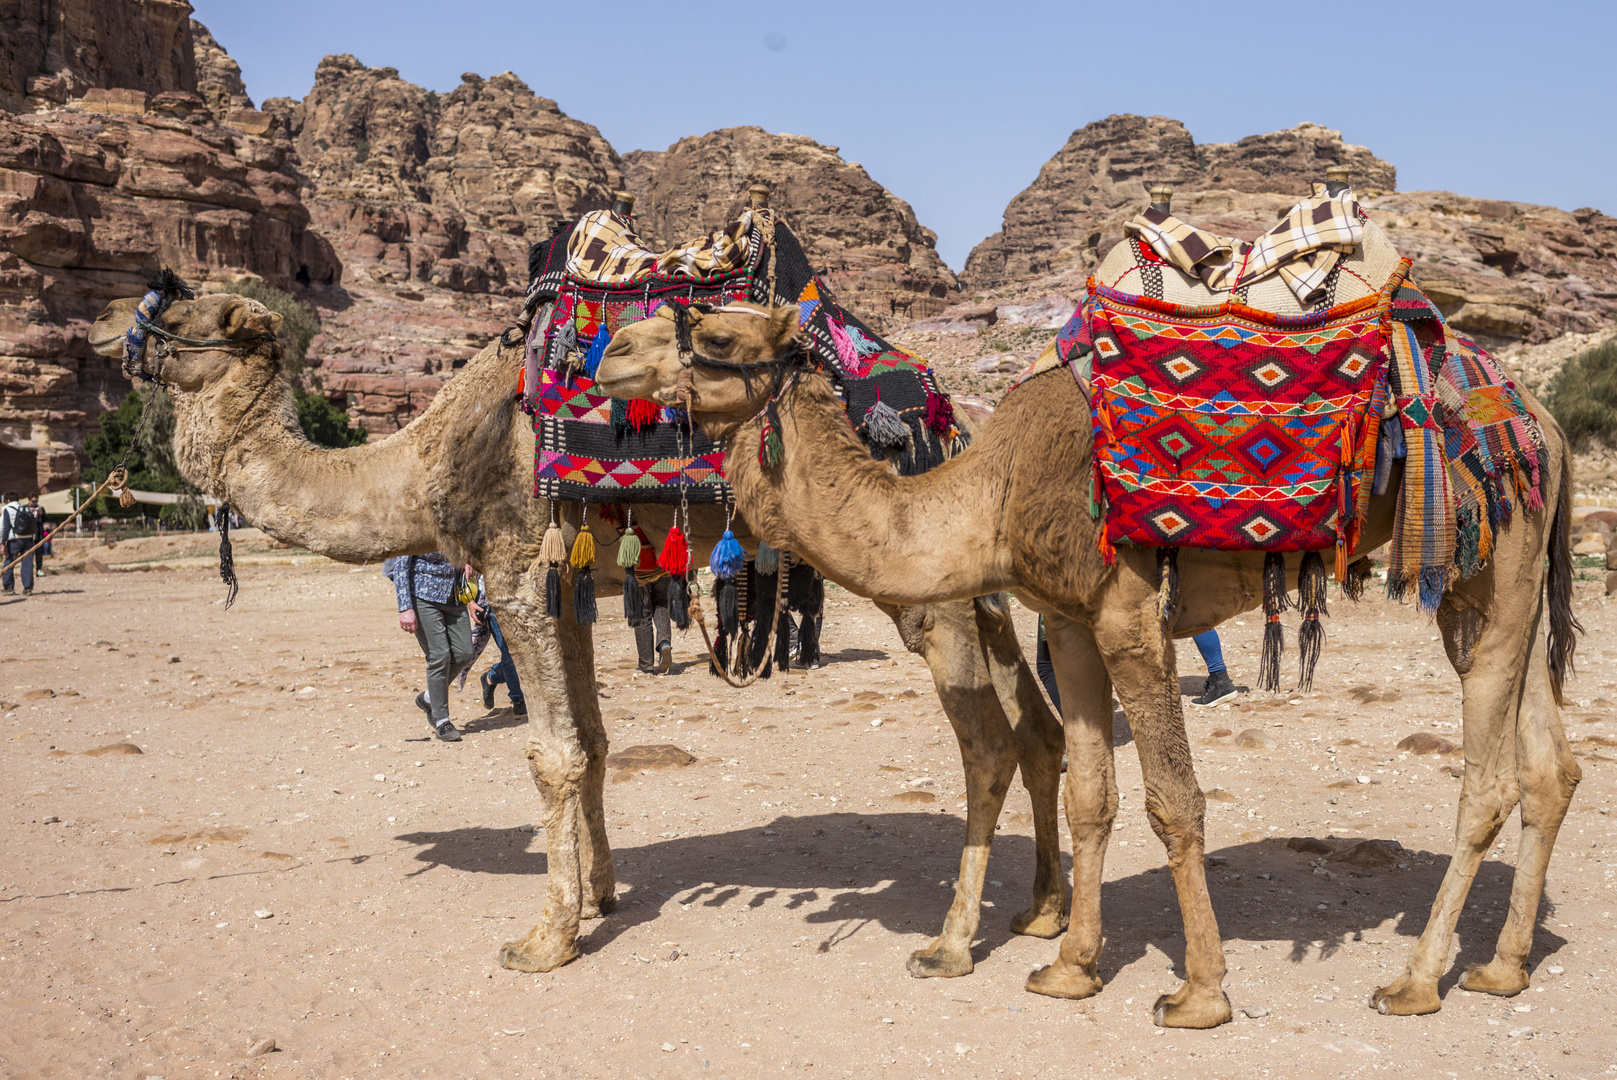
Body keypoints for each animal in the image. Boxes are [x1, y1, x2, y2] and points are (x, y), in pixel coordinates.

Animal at [88, 284, 1073, 976]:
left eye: (190, 309)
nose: (101, 323)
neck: (421, 461)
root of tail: (939, 402)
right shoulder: (566, 587)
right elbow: (594, 744)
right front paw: (600, 896)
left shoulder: (516, 567)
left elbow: (551, 755)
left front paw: (544, 937)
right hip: (976, 575)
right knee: (1040, 726)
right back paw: (1041, 912)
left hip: (921, 581)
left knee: (987, 743)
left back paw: (952, 944)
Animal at [595, 229, 1578, 1028]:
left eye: (716, 337)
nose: (610, 356)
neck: (987, 496)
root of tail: (1546, 424)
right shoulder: (1065, 621)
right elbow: (1089, 794)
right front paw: (1068, 966)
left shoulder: (1125, 613)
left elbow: (1173, 800)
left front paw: (1199, 992)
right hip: (1504, 578)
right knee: (1548, 766)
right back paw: (1501, 968)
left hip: (1488, 556)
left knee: (1488, 780)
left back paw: (1414, 981)